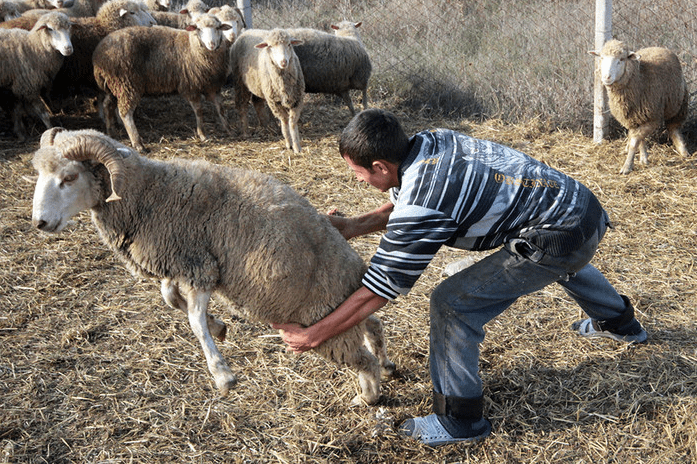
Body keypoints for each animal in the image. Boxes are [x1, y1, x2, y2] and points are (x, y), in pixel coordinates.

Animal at [0, 11, 71, 139]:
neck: (33, 47)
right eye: (50, 29)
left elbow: (17, 110)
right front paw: (50, 128)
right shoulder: (28, 86)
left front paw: (20, 132)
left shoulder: (17, 86)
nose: (68, 48)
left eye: (69, 27)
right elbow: (43, 113)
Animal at [31, 128, 396, 406]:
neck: (148, 192)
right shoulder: (182, 263)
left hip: (323, 329)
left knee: (362, 361)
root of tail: (354, 270)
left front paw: (222, 373)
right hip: (345, 314)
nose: (40, 223)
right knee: (373, 324)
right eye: (39, 174)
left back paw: (368, 397)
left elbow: (193, 320)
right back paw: (386, 362)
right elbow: (170, 297)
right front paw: (219, 326)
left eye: (69, 177)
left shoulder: (201, 268)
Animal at [93, 12, 231, 150]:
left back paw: (111, 132)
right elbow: (199, 111)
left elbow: (221, 108)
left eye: (218, 28)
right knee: (125, 114)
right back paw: (138, 143)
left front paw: (227, 128)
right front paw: (202, 134)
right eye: (199, 29)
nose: (212, 44)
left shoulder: (212, 86)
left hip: (114, 86)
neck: (192, 46)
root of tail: (98, 55)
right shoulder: (191, 86)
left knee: (107, 105)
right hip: (127, 84)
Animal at [588, 38, 692, 174]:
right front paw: (643, 159)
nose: (607, 77)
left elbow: (635, 141)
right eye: (601, 58)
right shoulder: (633, 118)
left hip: (679, 105)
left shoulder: (653, 119)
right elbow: (639, 139)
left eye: (621, 59)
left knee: (674, 128)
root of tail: (659, 47)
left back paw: (683, 151)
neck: (639, 79)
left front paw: (627, 166)